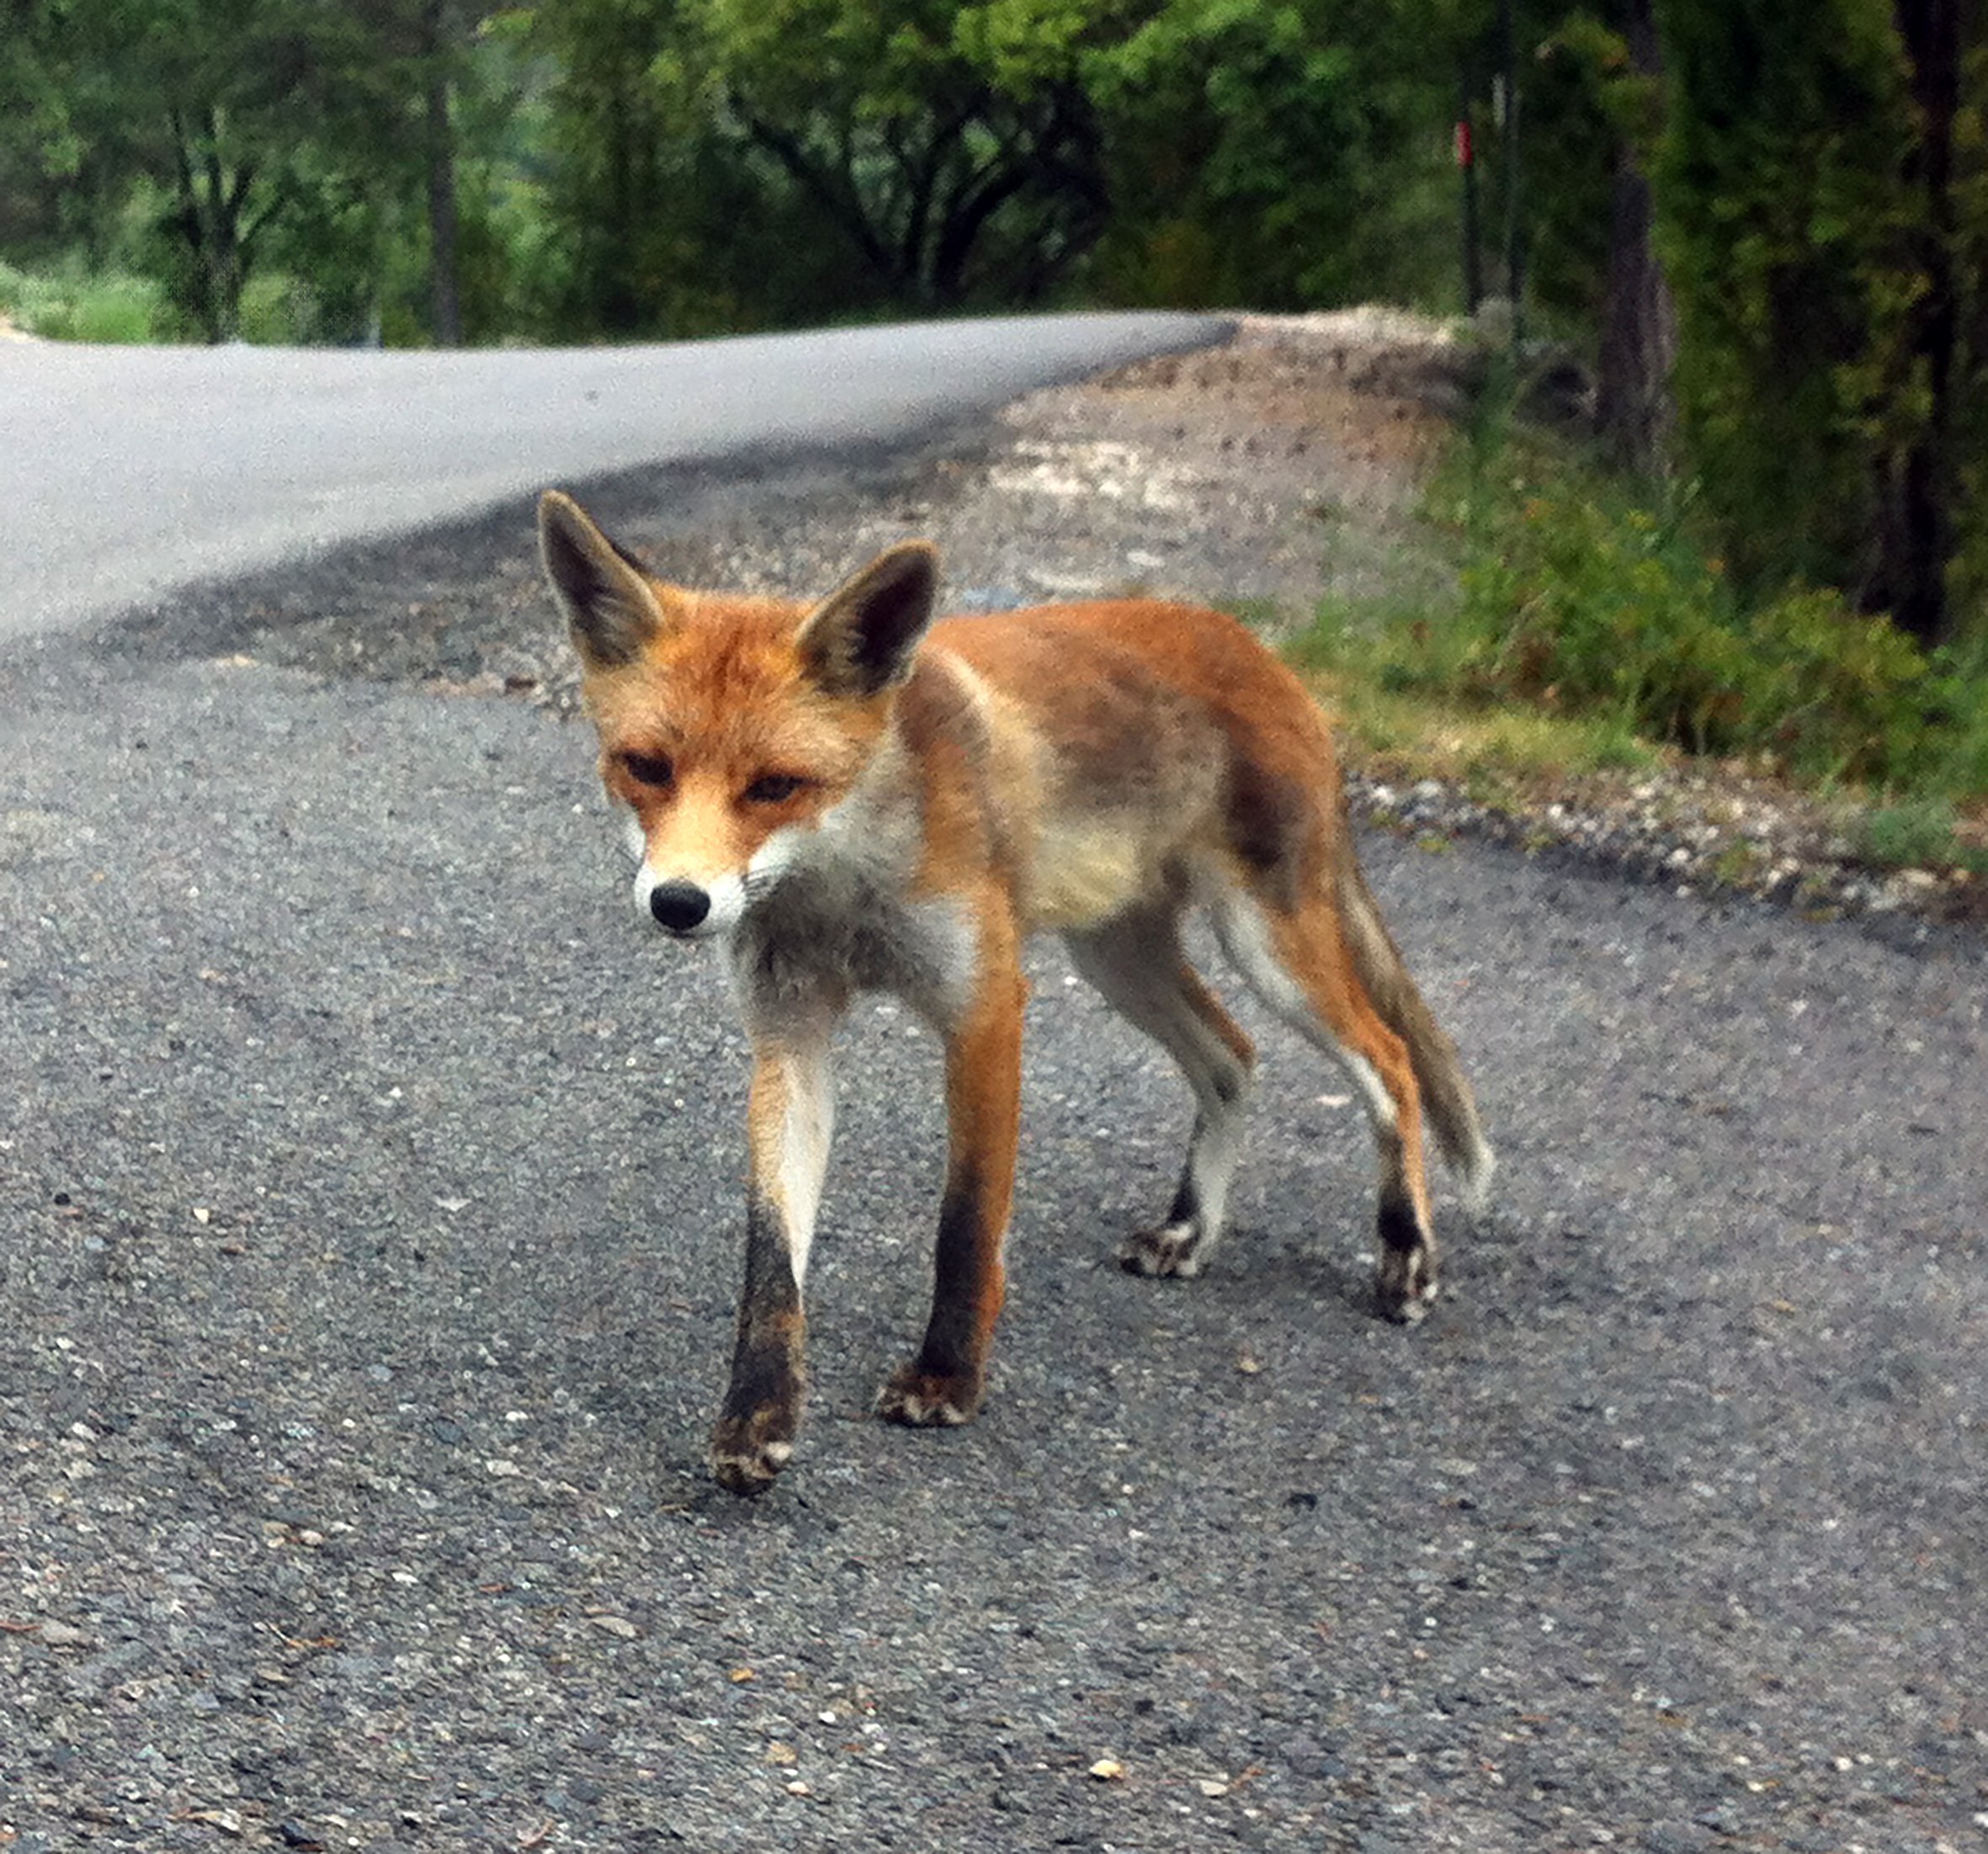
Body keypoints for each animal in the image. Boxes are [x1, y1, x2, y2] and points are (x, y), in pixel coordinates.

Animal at [537, 488, 1493, 1494]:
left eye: (775, 786)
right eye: (646, 767)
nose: (679, 902)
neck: (844, 885)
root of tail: (1260, 650)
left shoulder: (985, 1007)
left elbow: (966, 1226)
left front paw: (946, 1378)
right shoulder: (790, 1033)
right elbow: (771, 1256)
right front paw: (756, 1413)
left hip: (1266, 943)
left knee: (1390, 1059)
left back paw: (1405, 1251)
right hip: (1116, 955)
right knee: (1233, 1056)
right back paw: (1189, 1230)